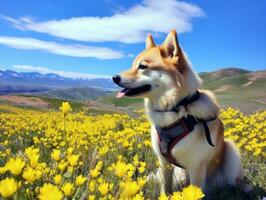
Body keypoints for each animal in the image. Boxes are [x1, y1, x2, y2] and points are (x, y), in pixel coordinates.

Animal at [112, 30, 243, 195]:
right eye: (133, 65)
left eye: (142, 66)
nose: (114, 78)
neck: (177, 108)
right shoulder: (165, 162)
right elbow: (165, 187)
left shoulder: (197, 166)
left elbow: (194, 190)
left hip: (231, 150)